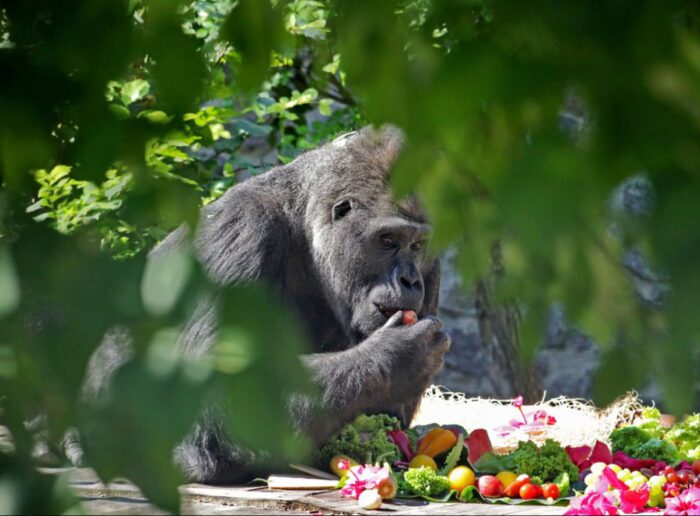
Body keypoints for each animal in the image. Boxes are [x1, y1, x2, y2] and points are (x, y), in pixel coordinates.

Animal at [80, 124, 448, 484]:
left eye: (417, 245)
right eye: (387, 240)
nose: (410, 281)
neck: (308, 231)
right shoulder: (243, 229)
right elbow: (216, 392)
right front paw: (397, 355)